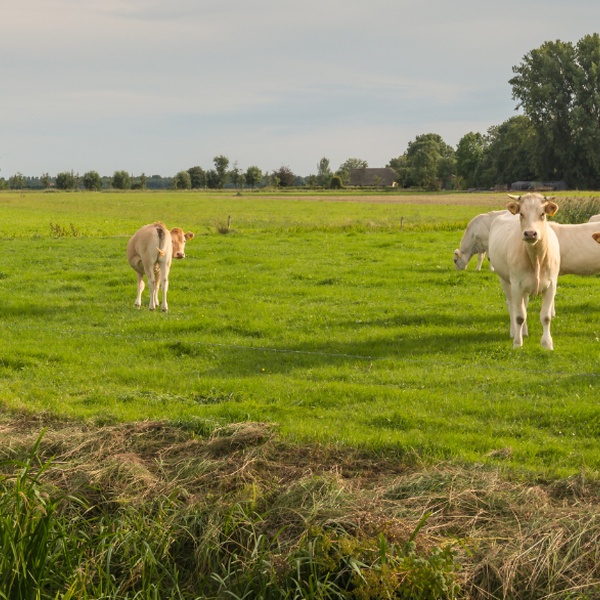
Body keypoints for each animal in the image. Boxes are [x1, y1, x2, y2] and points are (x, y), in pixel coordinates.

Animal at [488, 194, 560, 349]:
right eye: (521, 213)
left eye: (542, 214)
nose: (530, 233)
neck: (536, 258)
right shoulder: (517, 284)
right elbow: (519, 316)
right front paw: (517, 342)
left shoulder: (551, 285)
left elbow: (545, 317)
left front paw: (547, 344)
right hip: (505, 279)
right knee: (512, 305)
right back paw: (514, 331)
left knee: (524, 304)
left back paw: (525, 332)